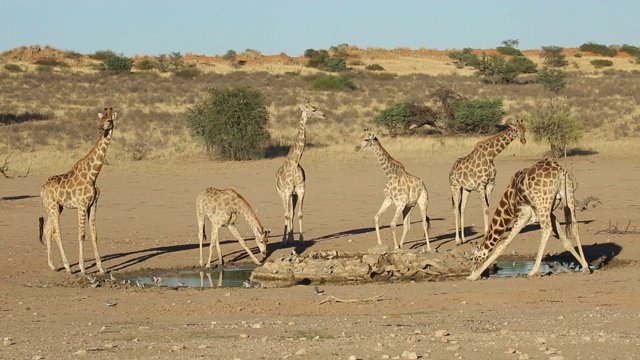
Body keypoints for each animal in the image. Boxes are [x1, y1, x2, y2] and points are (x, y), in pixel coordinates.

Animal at [38, 108, 117, 274]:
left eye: (108, 120)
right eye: (100, 119)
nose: (99, 129)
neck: (93, 175)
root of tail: (42, 189)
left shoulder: (92, 205)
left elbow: (94, 235)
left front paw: (101, 268)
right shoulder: (81, 205)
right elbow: (81, 234)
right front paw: (83, 269)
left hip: (56, 207)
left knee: (48, 230)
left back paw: (53, 265)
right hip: (53, 207)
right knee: (56, 232)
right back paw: (68, 267)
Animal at [274, 101, 328, 245]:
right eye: (313, 109)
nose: (325, 116)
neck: (295, 162)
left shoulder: (300, 190)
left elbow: (299, 214)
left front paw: (300, 239)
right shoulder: (287, 191)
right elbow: (287, 214)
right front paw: (284, 240)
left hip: (293, 195)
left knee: (291, 213)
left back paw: (291, 238)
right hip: (281, 193)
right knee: (286, 212)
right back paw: (285, 239)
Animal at [464, 158, 592, 282]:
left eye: (472, 258)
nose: (471, 270)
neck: (509, 205)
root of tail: (560, 171)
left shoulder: (522, 215)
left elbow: (502, 246)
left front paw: (473, 277)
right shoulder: (550, 214)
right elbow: (565, 241)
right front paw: (585, 266)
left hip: (543, 203)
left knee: (546, 229)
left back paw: (533, 271)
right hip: (568, 196)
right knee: (575, 226)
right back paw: (585, 267)